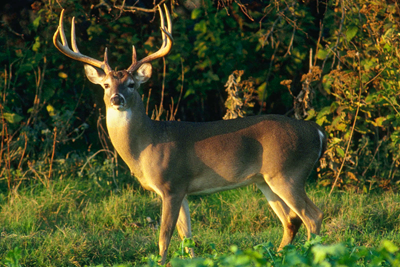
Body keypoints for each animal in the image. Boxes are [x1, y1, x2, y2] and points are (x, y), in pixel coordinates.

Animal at [54, 4, 326, 266]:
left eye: (132, 84)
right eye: (106, 85)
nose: (116, 99)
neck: (146, 145)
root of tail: (317, 131)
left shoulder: (171, 184)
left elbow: (164, 236)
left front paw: (160, 262)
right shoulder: (182, 189)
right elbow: (187, 237)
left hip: (288, 172)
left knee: (313, 216)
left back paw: (311, 255)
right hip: (264, 180)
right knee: (291, 220)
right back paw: (277, 256)